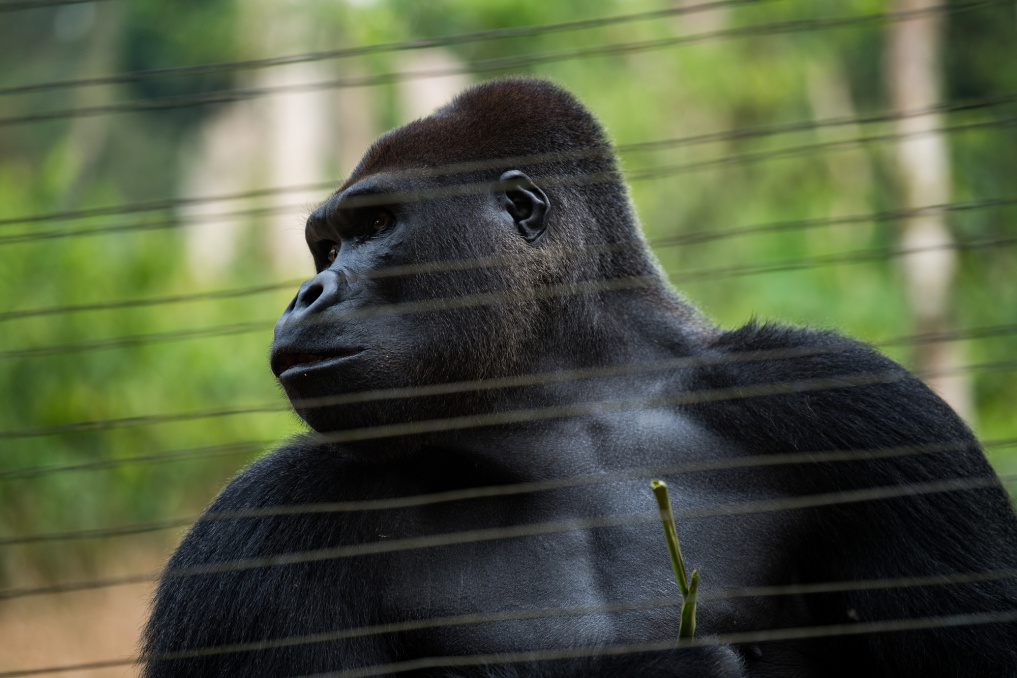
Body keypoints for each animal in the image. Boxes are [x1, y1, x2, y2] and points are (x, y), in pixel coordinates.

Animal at [143, 76, 1016, 674]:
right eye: (324, 248)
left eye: (376, 224)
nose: (308, 292)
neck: (566, 409)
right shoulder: (267, 518)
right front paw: (668, 669)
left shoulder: (859, 407)